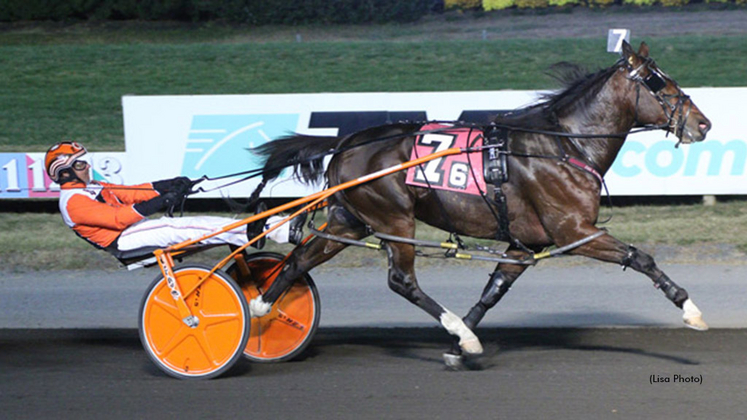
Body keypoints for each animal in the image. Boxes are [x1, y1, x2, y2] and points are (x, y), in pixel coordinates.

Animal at [247, 41, 712, 366]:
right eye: (658, 83)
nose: (703, 123)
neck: (565, 145)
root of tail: (345, 142)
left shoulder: (526, 243)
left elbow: (495, 290)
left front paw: (458, 346)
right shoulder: (574, 231)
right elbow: (640, 258)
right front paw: (690, 309)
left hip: (351, 220)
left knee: (300, 259)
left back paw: (259, 309)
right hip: (393, 218)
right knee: (401, 281)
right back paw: (455, 327)